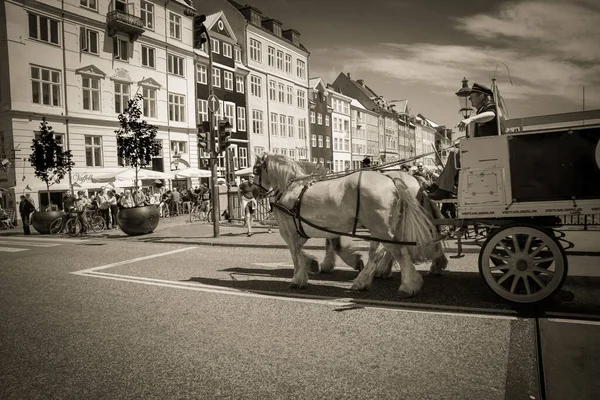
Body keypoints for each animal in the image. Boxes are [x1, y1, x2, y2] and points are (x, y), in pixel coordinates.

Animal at [253, 153, 440, 296]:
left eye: (255, 170)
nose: (254, 192)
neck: (292, 189)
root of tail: (391, 180)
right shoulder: (305, 230)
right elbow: (303, 251)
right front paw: (313, 264)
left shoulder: (289, 232)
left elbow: (296, 255)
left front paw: (298, 279)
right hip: (381, 228)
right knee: (378, 253)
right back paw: (364, 281)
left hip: (381, 229)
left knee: (398, 251)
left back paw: (408, 285)